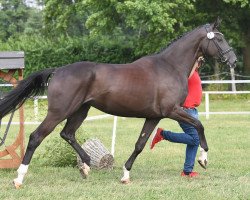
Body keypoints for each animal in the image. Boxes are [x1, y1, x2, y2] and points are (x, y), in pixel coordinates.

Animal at [0, 18, 237, 188]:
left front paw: (125, 175)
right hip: (59, 111)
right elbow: (199, 125)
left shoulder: (154, 116)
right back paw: (19, 179)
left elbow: (140, 144)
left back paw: (86, 167)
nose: (233, 60)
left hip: (80, 111)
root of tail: (58, 70)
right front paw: (204, 159)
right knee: (36, 137)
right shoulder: (172, 110)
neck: (170, 67)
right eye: (219, 39)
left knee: (67, 134)